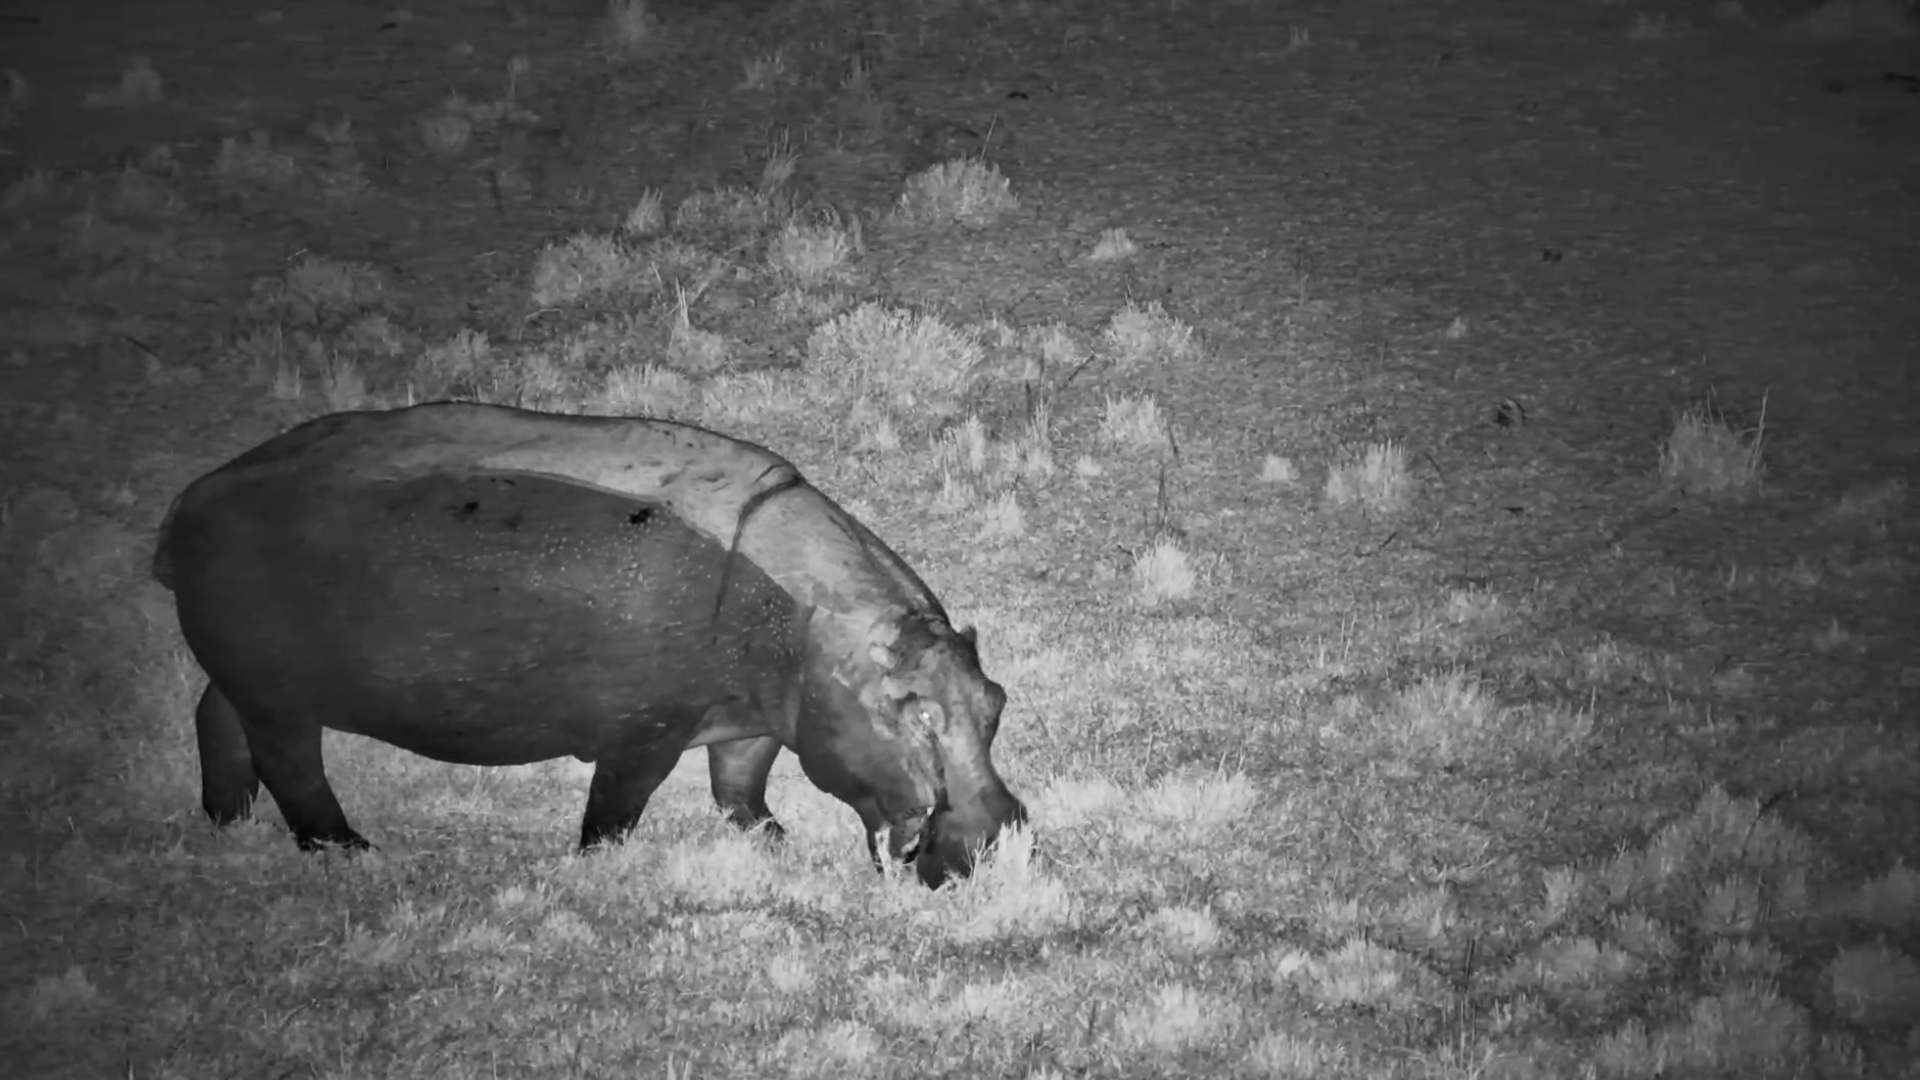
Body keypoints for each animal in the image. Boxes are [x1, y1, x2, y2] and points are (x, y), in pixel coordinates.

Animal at [152, 403, 1025, 887]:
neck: (816, 626)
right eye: (912, 712)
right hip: (282, 698)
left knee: (214, 719)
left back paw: (227, 820)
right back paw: (351, 851)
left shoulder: (756, 714)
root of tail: (189, 500)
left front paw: (772, 837)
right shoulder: (647, 729)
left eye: (996, 699)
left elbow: (738, 784)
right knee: (294, 766)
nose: (993, 839)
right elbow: (619, 802)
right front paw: (597, 862)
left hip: (248, 680)